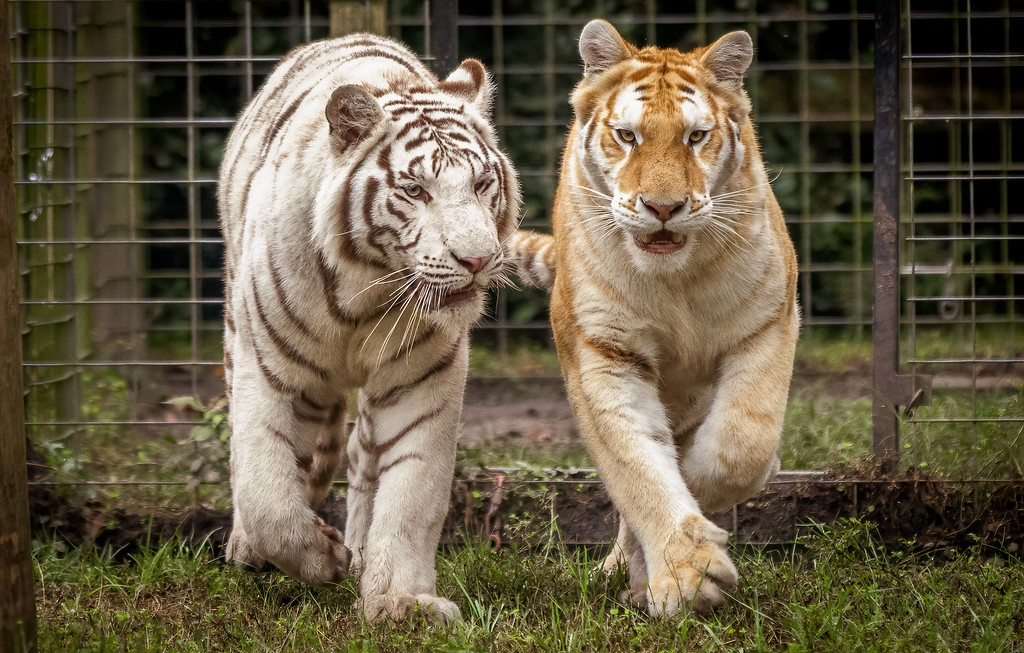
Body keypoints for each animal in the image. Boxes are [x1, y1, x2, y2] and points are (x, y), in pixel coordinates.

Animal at [217, 31, 520, 622]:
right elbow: (267, 494)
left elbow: (411, 497)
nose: (477, 260)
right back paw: (252, 547)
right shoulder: (269, 370)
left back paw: (358, 548)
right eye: (416, 190)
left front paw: (400, 601)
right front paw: (319, 558)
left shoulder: (423, 378)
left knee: (361, 458)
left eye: (480, 184)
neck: (366, 289)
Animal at [512, 19, 798, 614]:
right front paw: (687, 575)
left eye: (695, 137)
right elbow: (636, 466)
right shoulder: (604, 352)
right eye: (628, 136)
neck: (676, 283)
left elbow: (742, 444)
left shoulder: (768, 324)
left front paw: (705, 490)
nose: (663, 208)